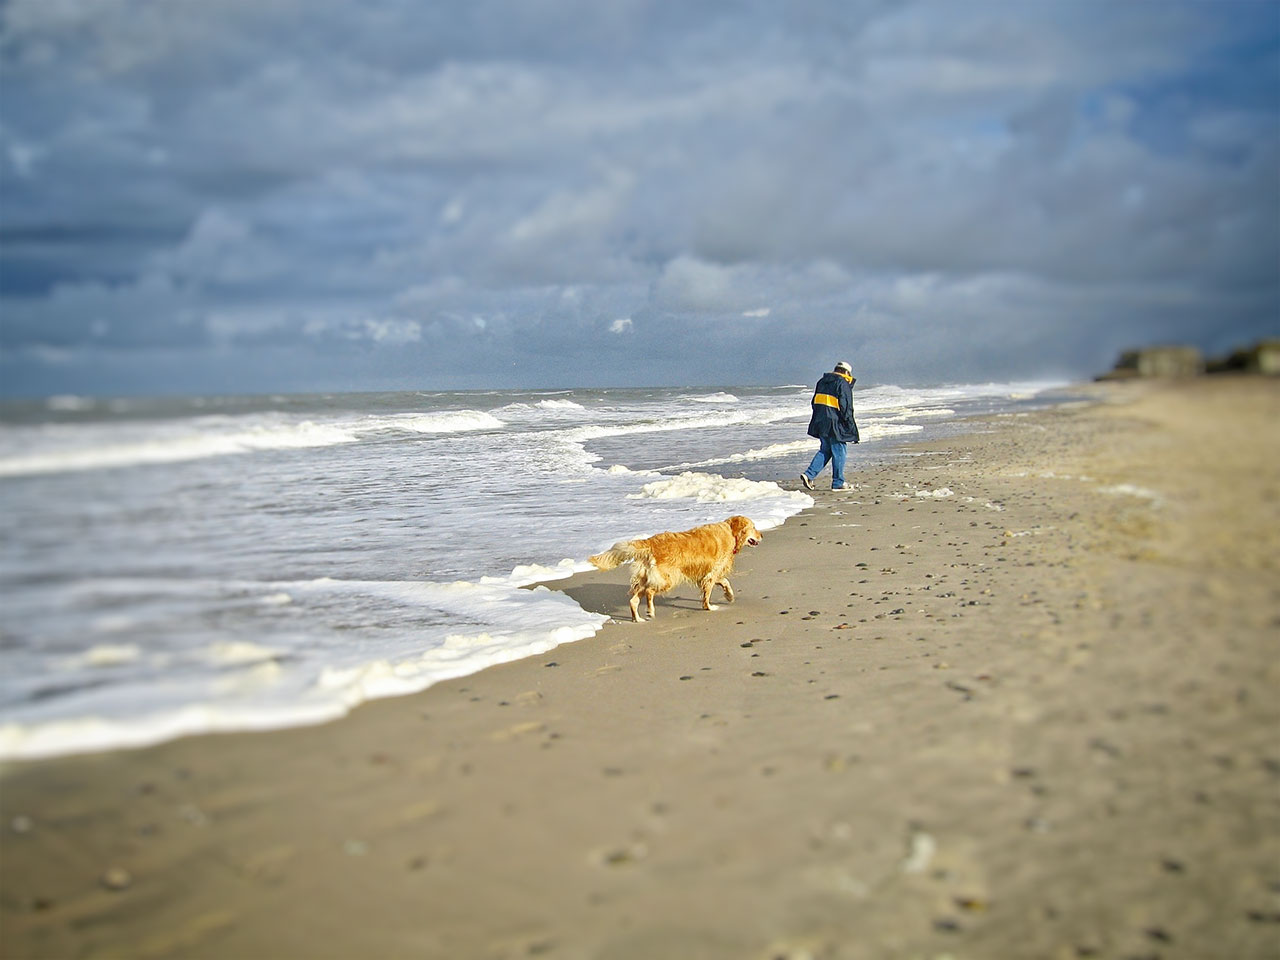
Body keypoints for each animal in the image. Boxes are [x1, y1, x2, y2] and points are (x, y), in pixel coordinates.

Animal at [588, 519, 757, 624]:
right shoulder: (710, 574)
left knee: (633, 600)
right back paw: (650, 611)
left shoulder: (709, 573)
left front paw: (729, 596)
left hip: (645, 578)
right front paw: (709, 607)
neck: (730, 532)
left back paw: (639, 619)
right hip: (667, 579)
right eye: (754, 527)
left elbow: (724, 581)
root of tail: (650, 543)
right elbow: (708, 593)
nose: (761, 534)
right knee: (649, 591)